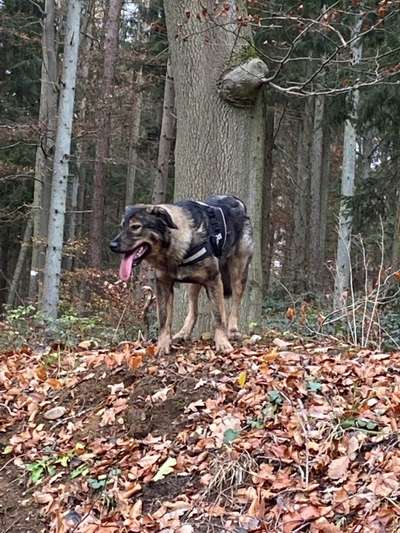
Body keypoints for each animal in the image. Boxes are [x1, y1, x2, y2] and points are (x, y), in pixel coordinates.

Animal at [110, 194, 253, 354]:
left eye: (135, 227)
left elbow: (218, 316)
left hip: (238, 273)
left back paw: (233, 330)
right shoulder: (163, 285)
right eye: (121, 227)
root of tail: (237, 201)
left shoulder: (213, 281)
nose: (112, 246)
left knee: (235, 302)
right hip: (194, 284)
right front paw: (162, 345)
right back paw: (184, 332)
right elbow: (164, 319)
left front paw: (222, 342)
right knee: (193, 310)